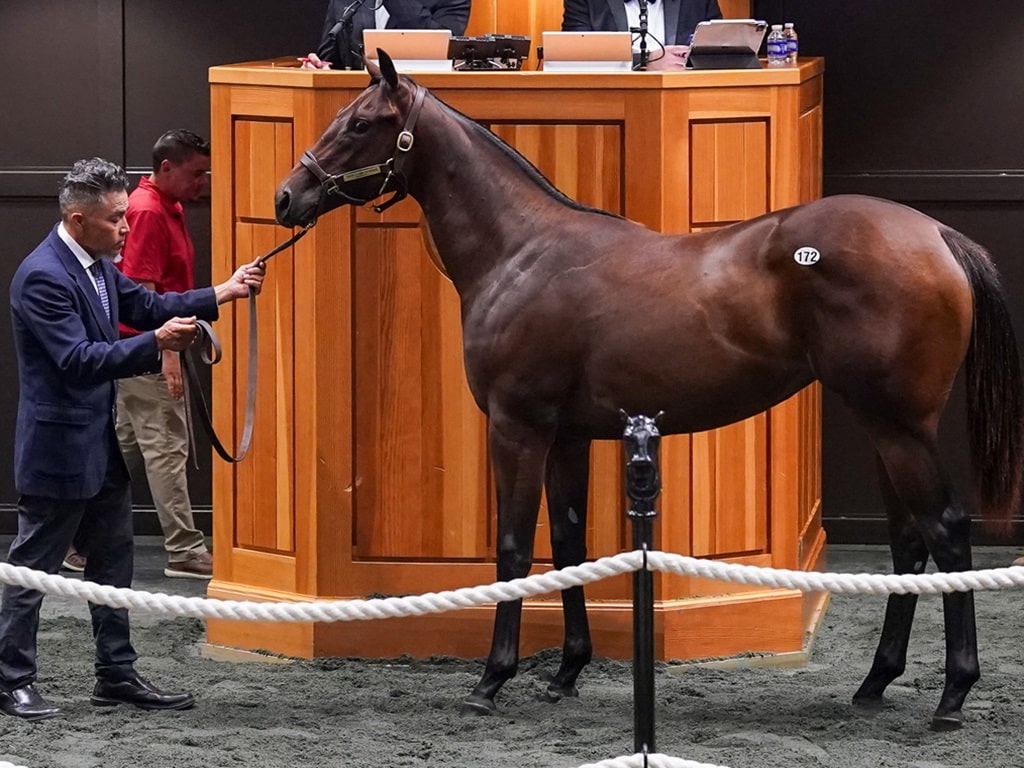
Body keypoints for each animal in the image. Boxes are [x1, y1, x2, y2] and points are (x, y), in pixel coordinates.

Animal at [274, 51, 1024, 729]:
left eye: (361, 122)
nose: (286, 197)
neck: (520, 254)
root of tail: (937, 233)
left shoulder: (517, 425)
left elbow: (514, 547)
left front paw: (491, 680)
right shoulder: (568, 436)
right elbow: (568, 544)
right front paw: (566, 672)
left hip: (899, 427)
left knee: (946, 533)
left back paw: (952, 696)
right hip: (883, 426)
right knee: (909, 541)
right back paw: (874, 683)